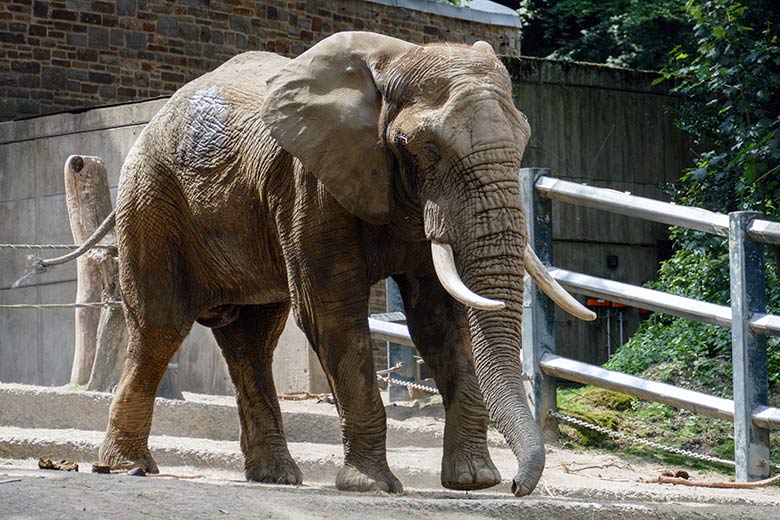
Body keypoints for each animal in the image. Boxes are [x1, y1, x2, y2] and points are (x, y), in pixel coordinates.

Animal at [77, 31, 592, 496]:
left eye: (523, 139)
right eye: (425, 147)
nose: (519, 487)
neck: (395, 59)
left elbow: (440, 318)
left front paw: (473, 481)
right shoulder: (310, 183)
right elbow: (331, 313)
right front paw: (372, 487)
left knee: (252, 339)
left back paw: (275, 477)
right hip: (151, 199)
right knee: (159, 326)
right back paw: (128, 466)